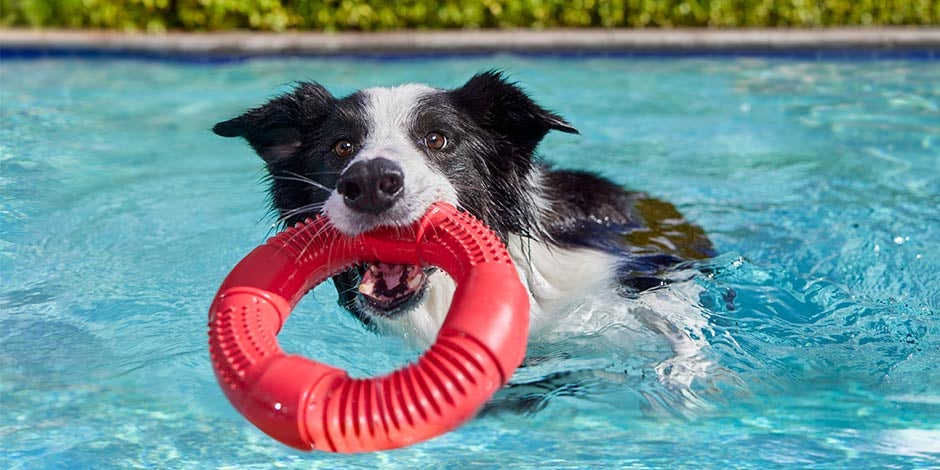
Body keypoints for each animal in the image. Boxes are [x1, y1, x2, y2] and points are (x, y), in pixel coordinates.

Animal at [211, 71, 712, 410]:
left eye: (437, 139)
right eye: (342, 147)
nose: (370, 181)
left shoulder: (632, 273)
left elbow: (678, 325)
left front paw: (684, 380)